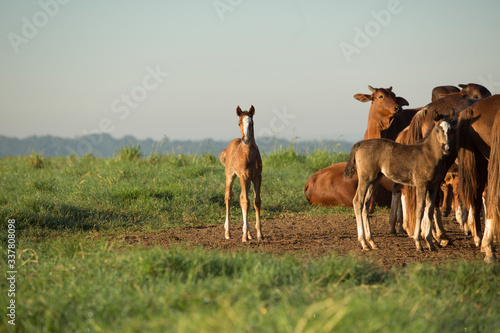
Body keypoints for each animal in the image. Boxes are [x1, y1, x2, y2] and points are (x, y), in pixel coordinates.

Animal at [220, 105, 264, 241]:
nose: (246, 139)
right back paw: (228, 232)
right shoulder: (243, 176)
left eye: (251, 123)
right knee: (228, 197)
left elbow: (256, 201)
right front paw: (244, 237)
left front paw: (259, 234)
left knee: (241, 198)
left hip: (247, 181)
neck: (249, 155)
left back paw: (249, 233)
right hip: (230, 176)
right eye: (239, 123)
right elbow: (246, 202)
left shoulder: (257, 177)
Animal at [346, 111, 456, 252]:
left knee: (365, 205)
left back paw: (372, 242)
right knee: (357, 202)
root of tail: (359, 144)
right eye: (437, 129)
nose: (446, 148)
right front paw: (418, 243)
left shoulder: (434, 186)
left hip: (373, 180)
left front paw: (431, 244)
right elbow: (420, 209)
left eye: (451, 129)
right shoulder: (421, 184)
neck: (428, 154)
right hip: (365, 179)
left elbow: (429, 211)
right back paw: (364, 243)